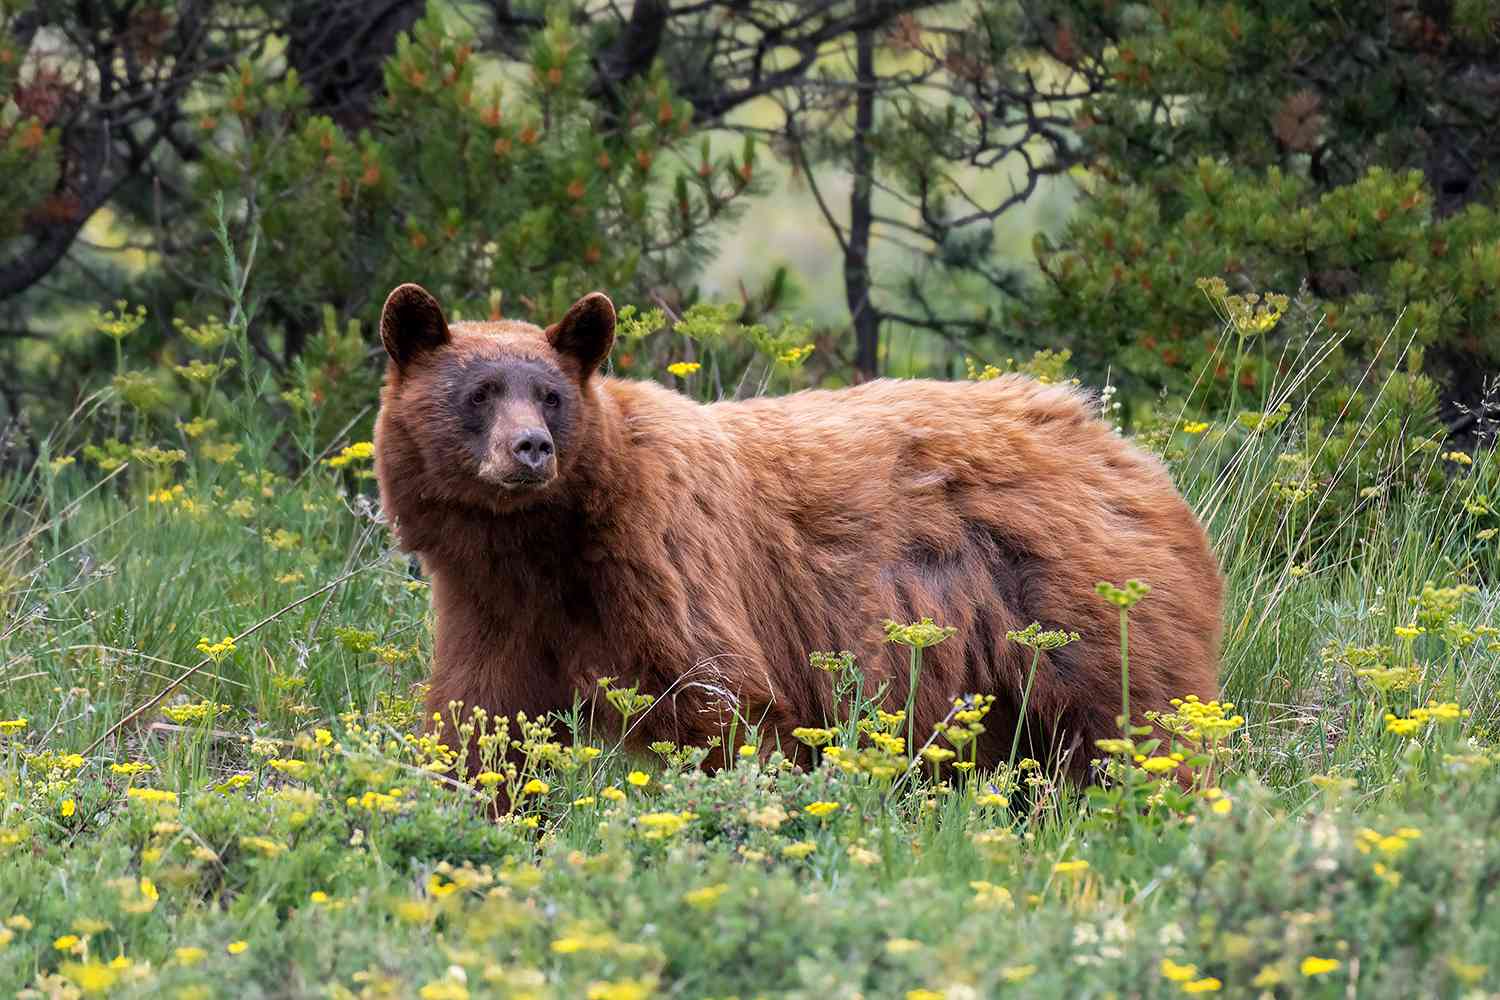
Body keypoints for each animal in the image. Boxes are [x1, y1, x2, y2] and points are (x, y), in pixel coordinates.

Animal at [372, 281, 1218, 779]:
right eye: (481, 392)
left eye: (549, 394)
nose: (530, 449)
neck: (543, 545)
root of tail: (1121, 448)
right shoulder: (490, 606)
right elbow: (480, 715)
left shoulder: (664, 561)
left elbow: (723, 703)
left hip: (1075, 603)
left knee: (1130, 717)